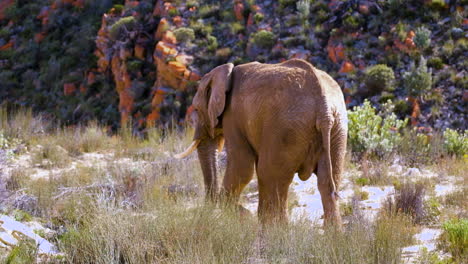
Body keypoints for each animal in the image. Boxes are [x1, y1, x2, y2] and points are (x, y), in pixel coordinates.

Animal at [176, 58, 348, 226]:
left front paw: (244, 214)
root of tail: (324, 108)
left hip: (285, 129)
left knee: (271, 174)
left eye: (197, 109)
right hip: (337, 129)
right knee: (327, 181)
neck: (226, 72)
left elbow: (242, 168)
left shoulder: (233, 116)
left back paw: (277, 229)